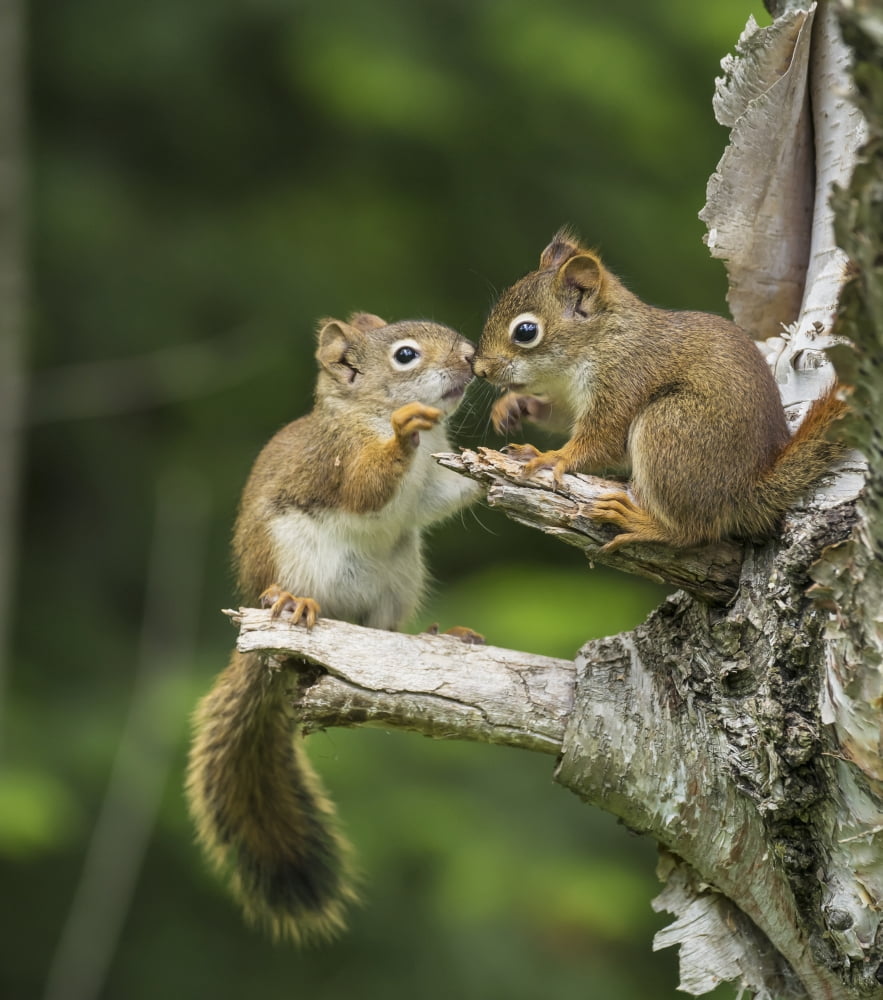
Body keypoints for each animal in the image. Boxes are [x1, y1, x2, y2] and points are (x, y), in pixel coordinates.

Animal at [186, 312, 481, 944]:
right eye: (405, 355)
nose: (472, 358)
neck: (362, 413)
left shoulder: (433, 483)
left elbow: (447, 496)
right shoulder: (338, 460)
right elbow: (366, 486)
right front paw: (402, 433)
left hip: (400, 574)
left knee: (385, 630)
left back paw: (435, 637)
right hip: (292, 555)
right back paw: (291, 603)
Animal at [472, 229, 846, 552]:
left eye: (526, 331)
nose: (479, 370)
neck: (600, 340)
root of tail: (748, 488)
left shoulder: (624, 379)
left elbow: (601, 441)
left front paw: (555, 457)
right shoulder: (570, 397)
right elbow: (559, 417)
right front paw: (514, 406)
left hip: (669, 426)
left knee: (695, 532)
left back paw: (640, 522)